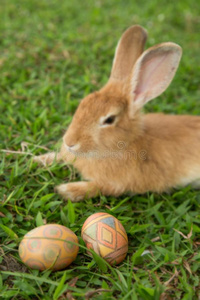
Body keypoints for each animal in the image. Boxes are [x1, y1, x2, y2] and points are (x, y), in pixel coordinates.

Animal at [33, 24, 200, 202]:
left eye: (109, 119)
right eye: (83, 103)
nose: (69, 142)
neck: (126, 143)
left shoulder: (119, 184)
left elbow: (98, 188)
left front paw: (66, 190)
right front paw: (36, 159)